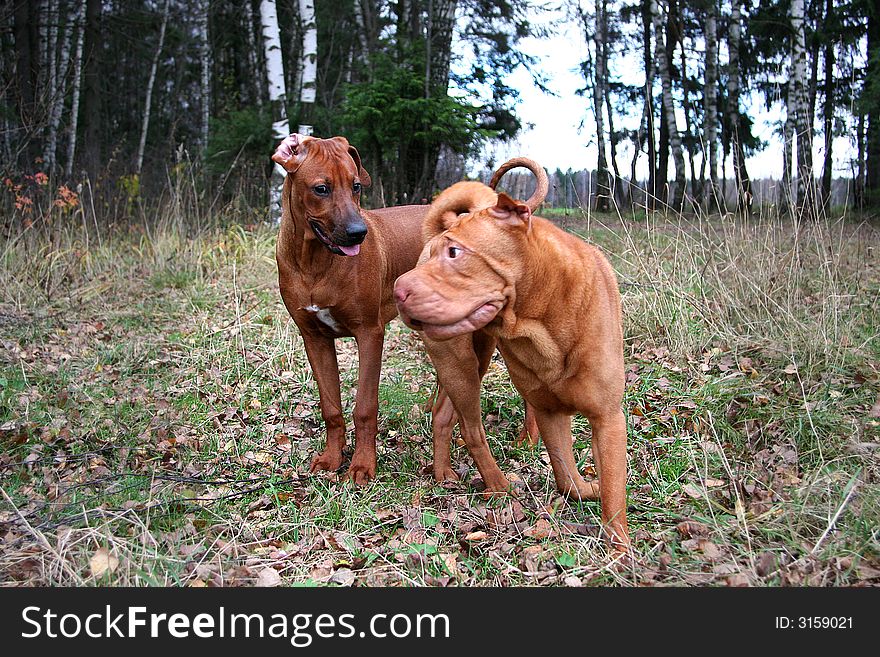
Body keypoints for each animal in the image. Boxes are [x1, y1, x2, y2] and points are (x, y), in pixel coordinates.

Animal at [274, 135, 428, 482]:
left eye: (356, 185)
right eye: (321, 188)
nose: (360, 233)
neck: (314, 263)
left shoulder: (369, 333)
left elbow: (365, 408)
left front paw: (362, 465)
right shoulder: (314, 338)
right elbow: (330, 406)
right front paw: (332, 457)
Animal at [396, 179, 628, 548]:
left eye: (454, 253)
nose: (397, 291)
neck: (543, 315)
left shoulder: (607, 419)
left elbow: (602, 489)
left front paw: (617, 542)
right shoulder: (550, 414)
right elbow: (568, 475)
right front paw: (619, 553)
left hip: (466, 362)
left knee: (443, 414)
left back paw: (443, 473)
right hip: (461, 368)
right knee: (471, 429)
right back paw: (499, 485)